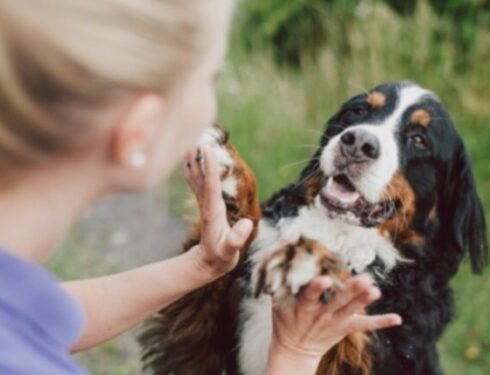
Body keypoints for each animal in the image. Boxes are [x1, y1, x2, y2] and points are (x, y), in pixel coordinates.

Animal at [138, 81, 486, 375]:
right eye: (359, 111)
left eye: (418, 139)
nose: (358, 143)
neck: (335, 230)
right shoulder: (202, 345)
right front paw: (231, 173)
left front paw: (309, 260)